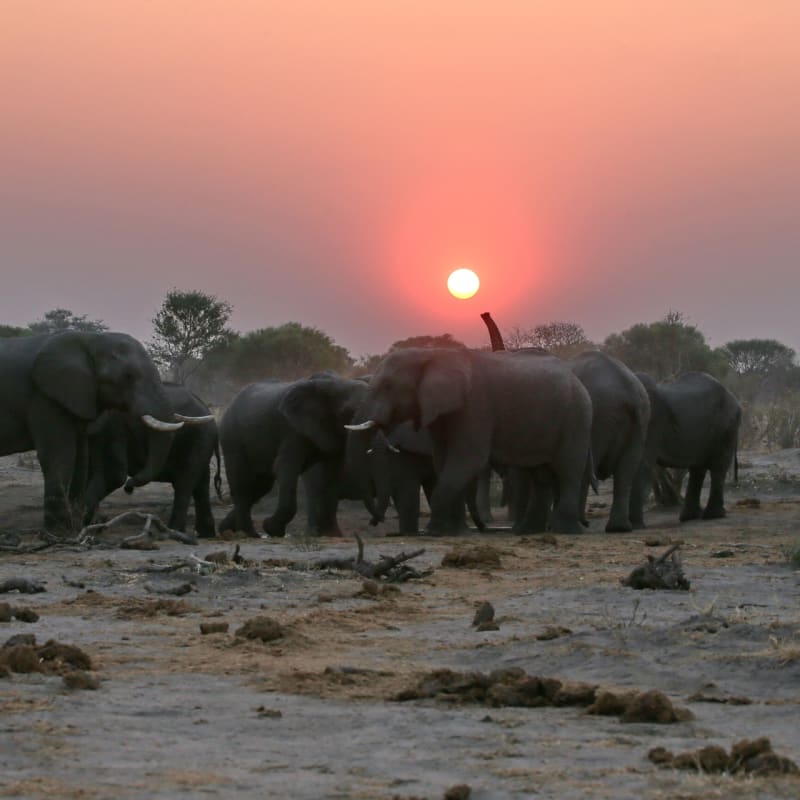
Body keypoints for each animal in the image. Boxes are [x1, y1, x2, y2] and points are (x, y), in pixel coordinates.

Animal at [0, 331, 207, 531]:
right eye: (128, 376)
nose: (129, 488)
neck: (90, 339)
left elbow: (81, 458)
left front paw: (74, 530)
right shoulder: (45, 396)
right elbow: (60, 455)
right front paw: (58, 535)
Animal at [84, 383, 220, 537]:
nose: (129, 488)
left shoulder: (114, 427)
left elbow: (112, 474)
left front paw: (90, 524)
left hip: (199, 439)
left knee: (185, 481)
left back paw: (173, 532)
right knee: (201, 483)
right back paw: (205, 534)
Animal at [218, 373, 380, 537]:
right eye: (348, 410)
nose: (373, 522)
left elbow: (332, 473)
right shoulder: (291, 430)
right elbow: (285, 467)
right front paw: (272, 529)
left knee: (260, 487)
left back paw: (226, 529)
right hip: (232, 437)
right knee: (242, 486)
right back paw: (248, 534)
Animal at [346, 347, 593, 535]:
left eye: (388, 386)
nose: (375, 521)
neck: (431, 354)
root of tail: (578, 381)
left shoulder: (476, 406)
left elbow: (467, 460)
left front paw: (434, 531)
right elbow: (443, 461)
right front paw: (449, 531)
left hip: (576, 416)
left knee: (568, 470)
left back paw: (566, 530)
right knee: (540, 475)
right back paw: (528, 531)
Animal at [631, 371, 741, 526]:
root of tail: (734, 398)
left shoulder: (650, 422)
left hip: (726, 426)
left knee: (717, 467)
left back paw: (713, 515)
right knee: (698, 469)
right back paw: (690, 517)